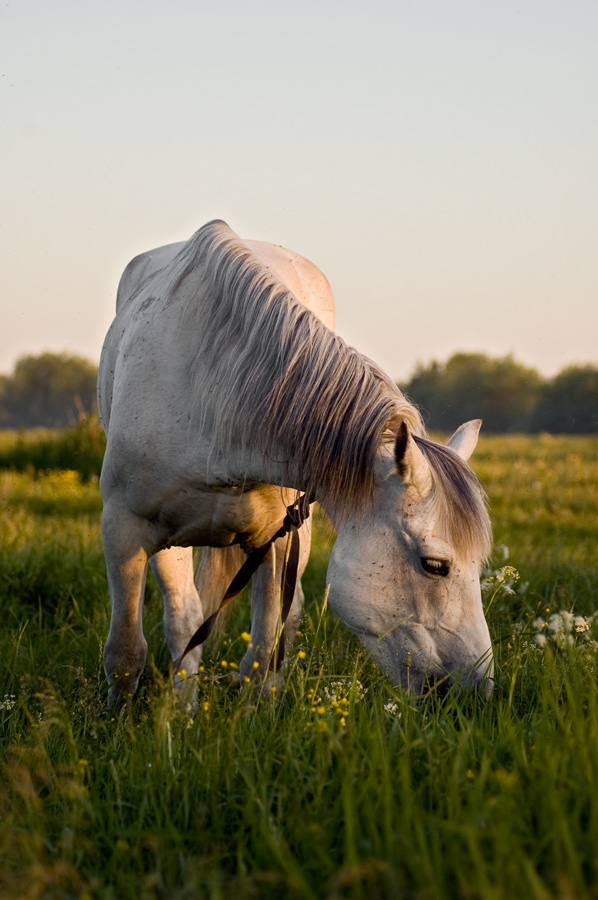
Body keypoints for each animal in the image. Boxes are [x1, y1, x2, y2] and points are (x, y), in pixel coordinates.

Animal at [97, 220, 492, 712]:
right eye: (435, 565)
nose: (477, 692)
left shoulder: (279, 542)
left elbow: (261, 658)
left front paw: (252, 720)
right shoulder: (125, 532)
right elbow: (128, 652)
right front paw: (130, 724)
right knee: (184, 619)